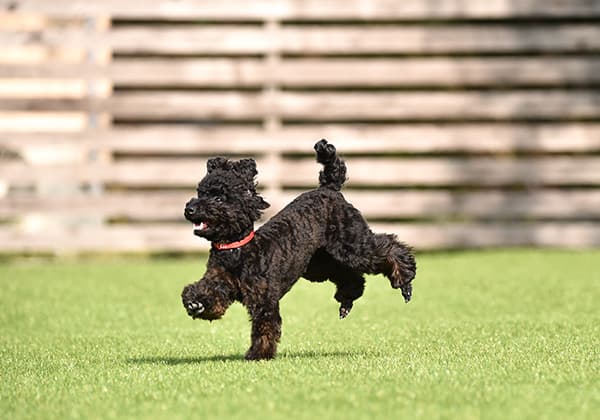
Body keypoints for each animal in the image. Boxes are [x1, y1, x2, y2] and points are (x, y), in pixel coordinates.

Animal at [183, 139, 414, 360]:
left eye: (219, 198)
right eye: (199, 193)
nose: (190, 208)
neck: (236, 250)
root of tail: (329, 188)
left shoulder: (264, 299)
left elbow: (264, 328)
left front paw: (258, 354)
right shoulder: (220, 280)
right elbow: (208, 293)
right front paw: (195, 303)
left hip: (352, 245)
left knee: (389, 248)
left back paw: (404, 281)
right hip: (319, 264)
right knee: (351, 277)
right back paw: (347, 300)